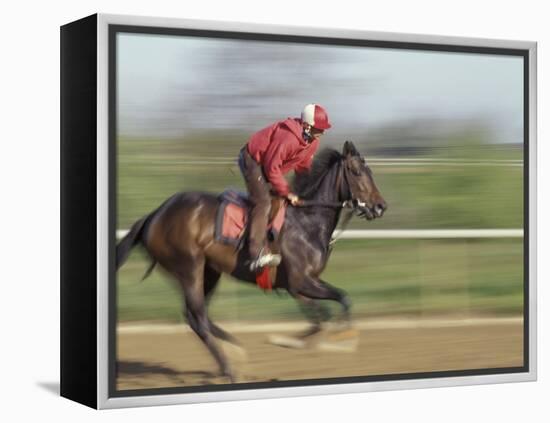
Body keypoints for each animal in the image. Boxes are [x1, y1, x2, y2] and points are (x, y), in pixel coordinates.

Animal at [117, 141, 388, 382]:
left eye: (371, 172)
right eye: (357, 172)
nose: (380, 206)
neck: (307, 221)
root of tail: (155, 214)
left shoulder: (298, 286)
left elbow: (322, 317)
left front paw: (297, 340)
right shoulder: (301, 282)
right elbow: (338, 302)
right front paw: (341, 340)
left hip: (210, 271)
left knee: (194, 316)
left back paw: (235, 350)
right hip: (189, 266)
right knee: (199, 317)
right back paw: (230, 368)